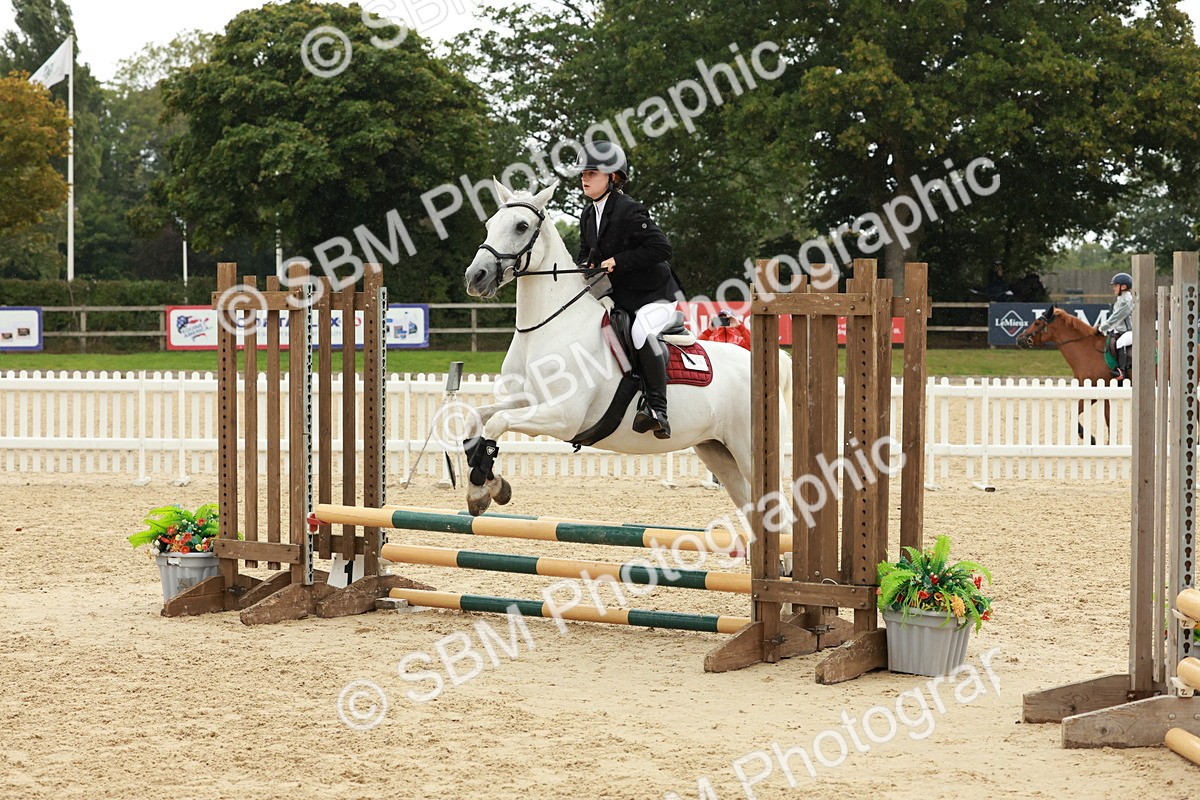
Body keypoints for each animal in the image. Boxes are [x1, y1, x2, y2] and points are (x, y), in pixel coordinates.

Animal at [460, 179, 790, 517]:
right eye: (489, 225)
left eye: (521, 226)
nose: (476, 277)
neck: (548, 326)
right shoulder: (524, 400)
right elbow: (478, 418)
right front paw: (486, 487)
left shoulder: (563, 416)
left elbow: (497, 422)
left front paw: (484, 485)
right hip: (717, 451)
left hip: (749, 453)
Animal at [1015, 304, 1123, 444]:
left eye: (1037, 323)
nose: (1019, 339)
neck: (1089, 350)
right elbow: (1108, 419)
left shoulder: (1094, 392)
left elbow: (1075, 413)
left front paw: (1089, 438)